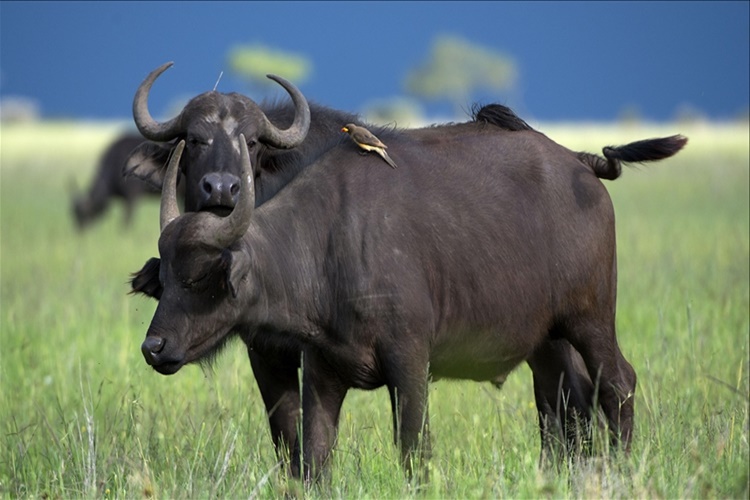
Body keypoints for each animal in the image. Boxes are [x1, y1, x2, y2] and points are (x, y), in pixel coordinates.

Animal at [132, 92, 687, 481]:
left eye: (200, 277)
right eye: (166, 277)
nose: (153, 347)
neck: (329, 244)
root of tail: (580, 164)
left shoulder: (410, 365)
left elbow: (414, 454)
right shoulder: (321, 374)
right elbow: (313, 459)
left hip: (591, 319)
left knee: (616, 383)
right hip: (547, 340)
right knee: (560, 402)